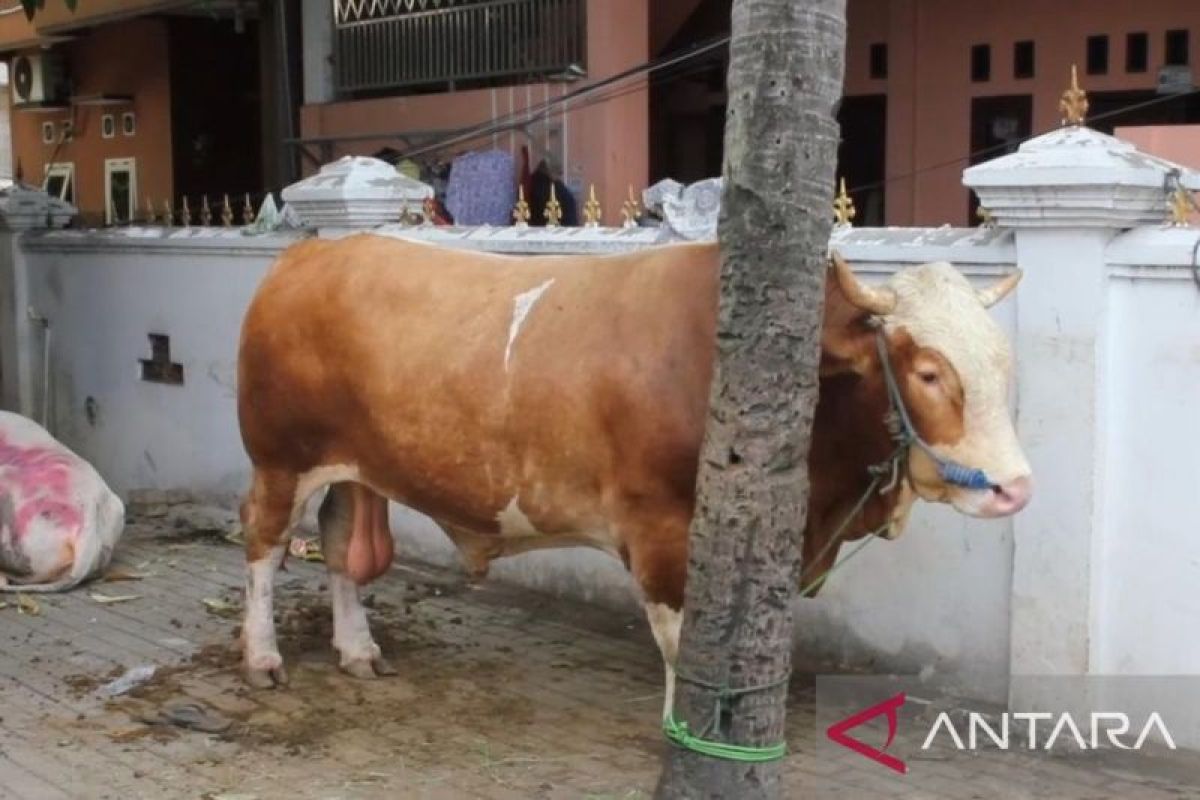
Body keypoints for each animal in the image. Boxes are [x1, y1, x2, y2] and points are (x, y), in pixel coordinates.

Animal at [236, 234, 1031, 714]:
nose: (1015, 487)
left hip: (353, 467)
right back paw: (263, 655)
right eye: (928, 372)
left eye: (1002, 360)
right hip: (280, 460)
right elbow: (685, 645)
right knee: (264, 549)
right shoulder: (662, 531)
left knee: (341, 546)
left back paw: (357, 649)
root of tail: (313, 250)